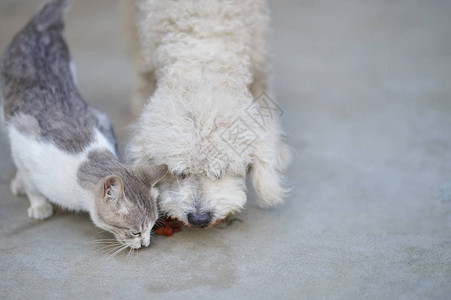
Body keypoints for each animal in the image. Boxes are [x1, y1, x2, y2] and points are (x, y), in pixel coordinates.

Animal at [0, 0, 168, 248]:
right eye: (135, 232)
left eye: (152, 225)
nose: (145, 243)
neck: (85, 155)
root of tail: (39, 27)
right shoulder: (22, 137)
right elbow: (30, 180)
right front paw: (38, 203)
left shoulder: (101, 120)